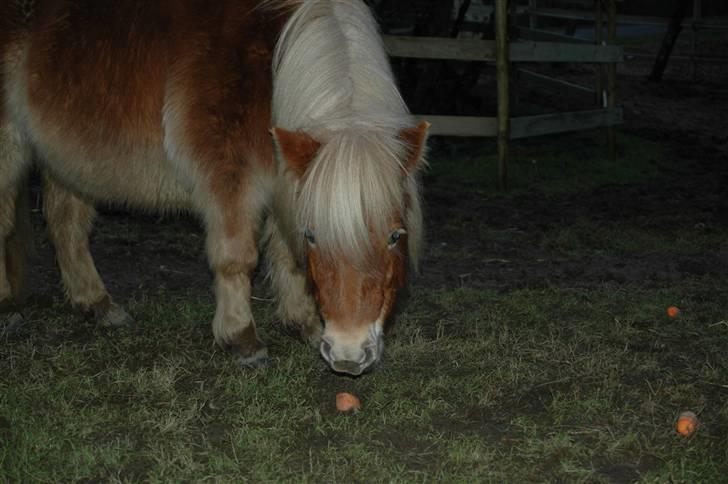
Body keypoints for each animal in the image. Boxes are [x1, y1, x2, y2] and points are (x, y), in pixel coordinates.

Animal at [0, 0, 426, 376]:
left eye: (395, 235)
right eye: (314, 236)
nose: (349, 355)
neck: (273, 69)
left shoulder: (286, 183)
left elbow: (287, 257)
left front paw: (302, 323)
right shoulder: (230, 178)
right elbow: (238, 258)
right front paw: (243, 339)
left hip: (64, 157)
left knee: (66, 225)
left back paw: (98, 305)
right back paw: (8, 310)